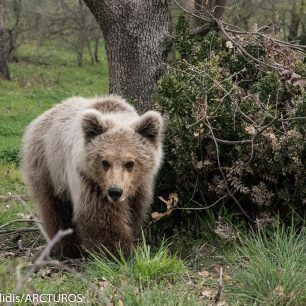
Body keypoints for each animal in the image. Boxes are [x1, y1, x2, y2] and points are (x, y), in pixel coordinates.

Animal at [21, 94, 164, 256]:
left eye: (130, 163)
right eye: (105, 162)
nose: (115, 191)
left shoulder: (140, 186)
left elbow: (136, 211)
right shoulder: (88, 180)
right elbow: (98, 216)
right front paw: (120, 251)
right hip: (48, 166)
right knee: (54, 207)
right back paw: (67, 248)